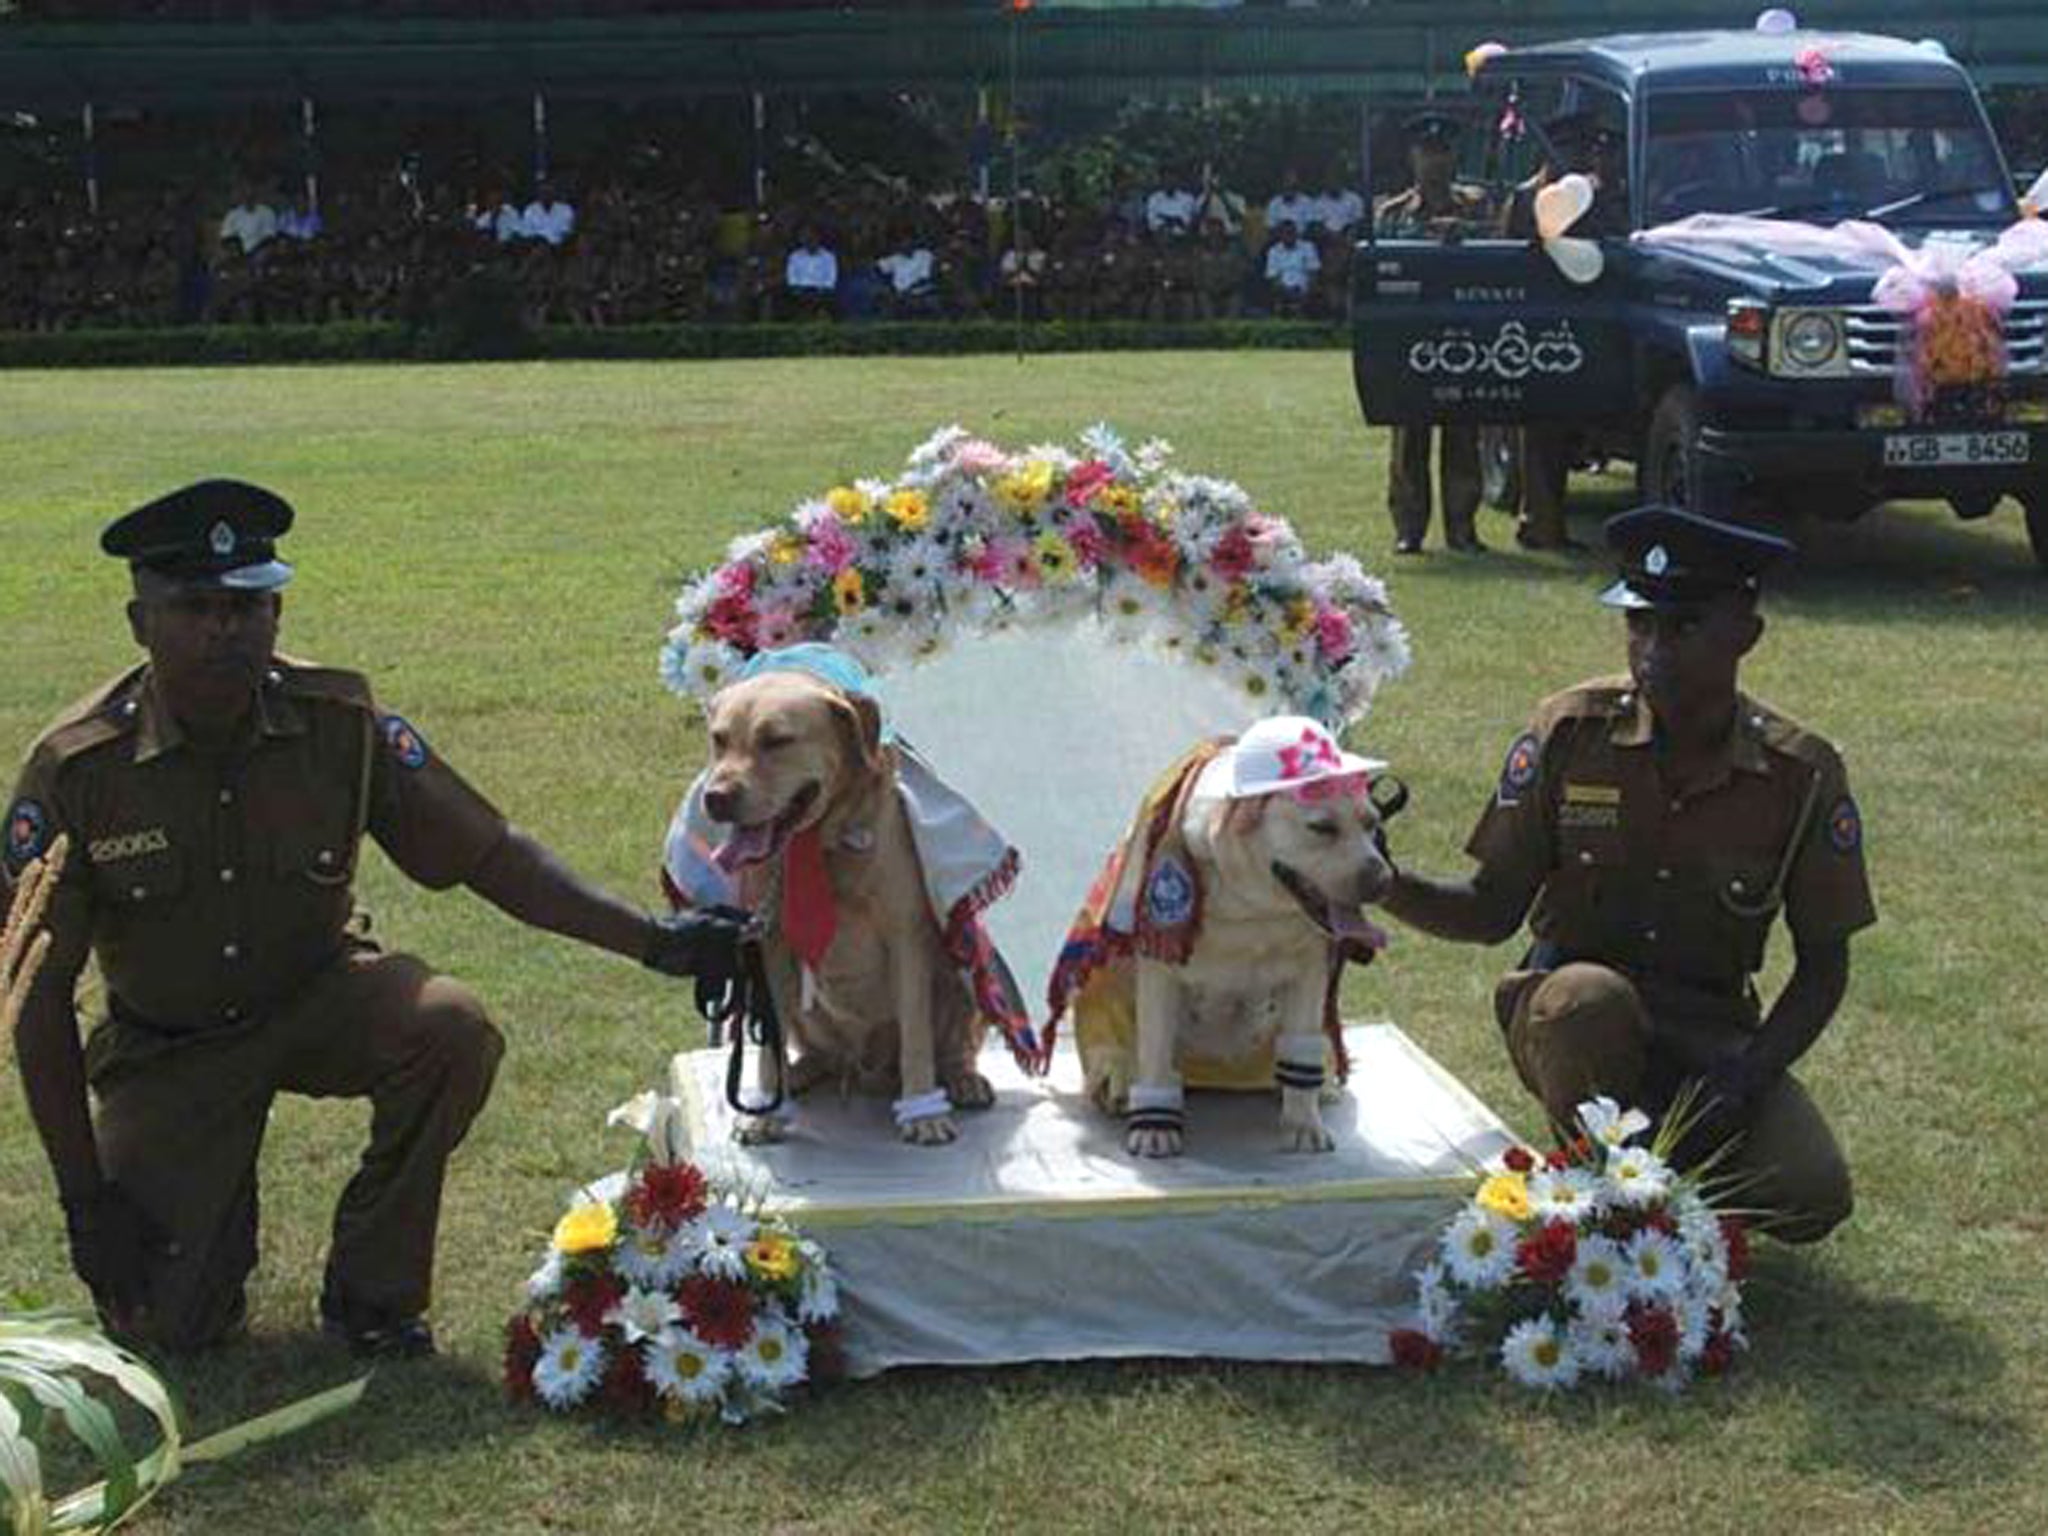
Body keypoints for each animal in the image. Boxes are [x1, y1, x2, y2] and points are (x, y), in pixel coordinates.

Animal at [700, 667, 995, 1146]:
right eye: (719, 739)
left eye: (776, 740)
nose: (716, 797)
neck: (820, 845)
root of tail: (864, 1071)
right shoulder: (772, 945)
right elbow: (768, 1043)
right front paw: (766, 1112)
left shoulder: (906, 940)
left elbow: (917, 1039)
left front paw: (922, 1113)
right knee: (814, 1052)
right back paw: (798, 1075)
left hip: (962, 980)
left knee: (954, 1048)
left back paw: (962, 1080)